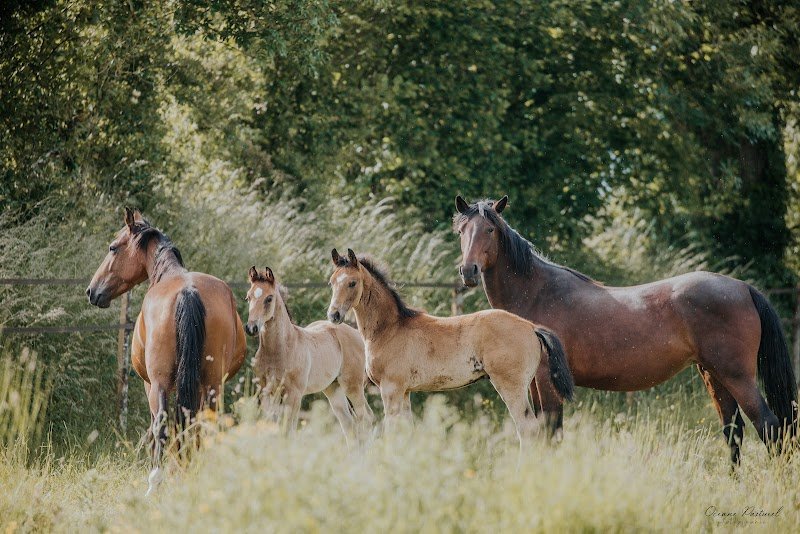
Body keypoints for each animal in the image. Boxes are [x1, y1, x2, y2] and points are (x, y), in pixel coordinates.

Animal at [87, 208, 246, 495]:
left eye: (113, 248)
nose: (92, 291)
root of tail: (188, 291)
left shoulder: (150, 385)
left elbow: (156, 430)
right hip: (212, 385)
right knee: (204, 424)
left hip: (159, 385)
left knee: (162, 426)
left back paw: (154, 484)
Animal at [244, 266, 374, 440]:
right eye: (248, 297)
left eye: (269, 298)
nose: (251, 328)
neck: (279, 350)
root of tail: (356, 333)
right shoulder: (266, 393)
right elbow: (271, 427)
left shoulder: (293, 395)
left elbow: (288, 431)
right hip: (333, 388)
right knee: (348, 423)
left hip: (353, 385)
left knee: (365, 418)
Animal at [326, 248, 574, 447]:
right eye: (331, 282)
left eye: (352, 283)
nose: (334, 315)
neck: (390, 328)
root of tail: (531, 327)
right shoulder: (404, 391)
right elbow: (406, 431)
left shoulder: (391, 389)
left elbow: (392, 430)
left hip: (510, 386)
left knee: (528, 428)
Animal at [454, 195, 799, 463]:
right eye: (461, 231)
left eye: (490, 229)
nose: (468, 271)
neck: (538, 292)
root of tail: (744, 288)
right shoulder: (536, 385)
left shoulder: (547, 382)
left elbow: (552, 433)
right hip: (714, 374)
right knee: (733, 432)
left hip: (737, 376)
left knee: (769, 427)